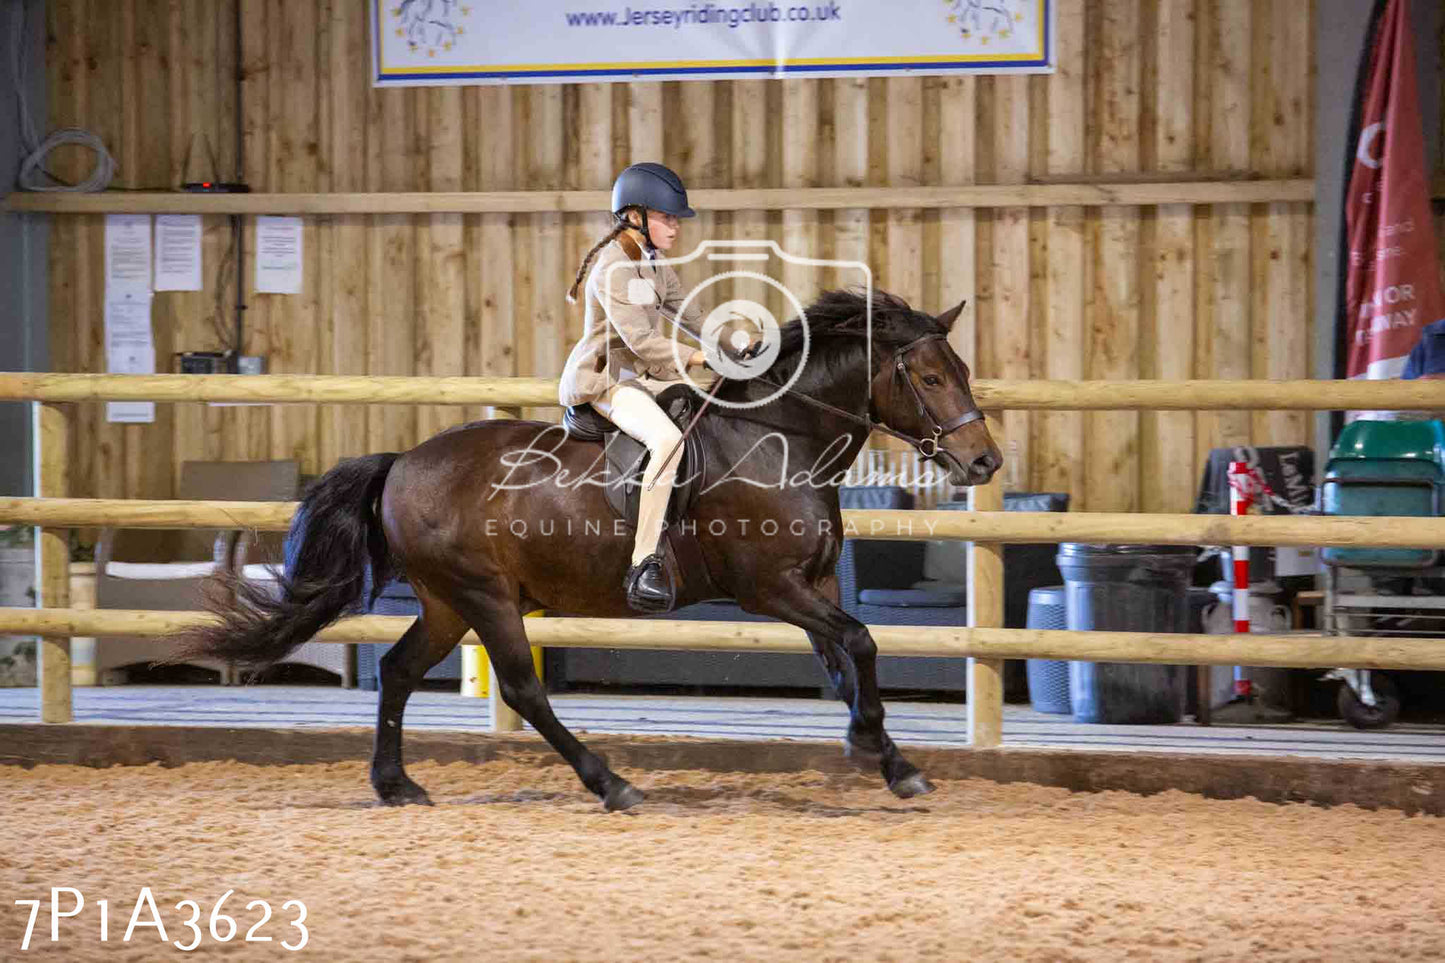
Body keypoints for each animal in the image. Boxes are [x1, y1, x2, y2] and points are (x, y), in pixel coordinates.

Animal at [174, 286, 999, 809]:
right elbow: (859, 643)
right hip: (484, 596)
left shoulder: (818, 585)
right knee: (522, 689)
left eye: (961, 371)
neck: (781, 438)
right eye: (930, 376)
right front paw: (874, 747)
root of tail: (403, 460)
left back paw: (396, 784)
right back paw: (611, 783)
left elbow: (844, 658)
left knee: (401, 671)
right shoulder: (771, 588)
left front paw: (886, 756)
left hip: (446, 600)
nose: (984, 462)